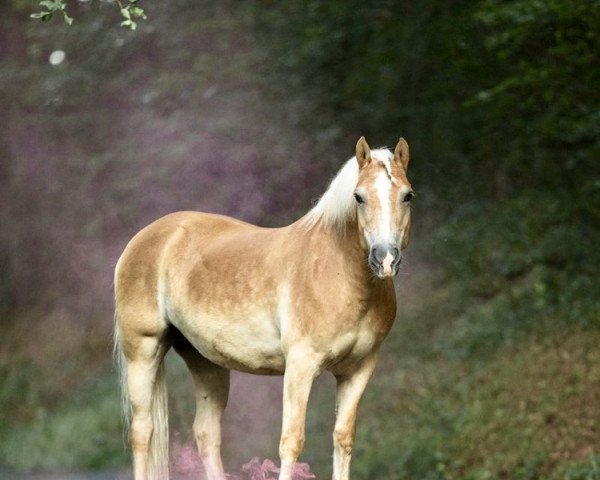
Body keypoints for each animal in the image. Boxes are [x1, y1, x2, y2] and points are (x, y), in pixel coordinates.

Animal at [112, 136, 412, 480]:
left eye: (407, 196)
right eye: (359, 197)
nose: (385, 259)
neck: (337, 273)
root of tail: (145, 237)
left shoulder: (358, 370)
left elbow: (343, 438)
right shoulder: (300, 366)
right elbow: (291, 441)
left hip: (206, 361)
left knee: (206, 434)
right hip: (143, 351)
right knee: (143, 432)